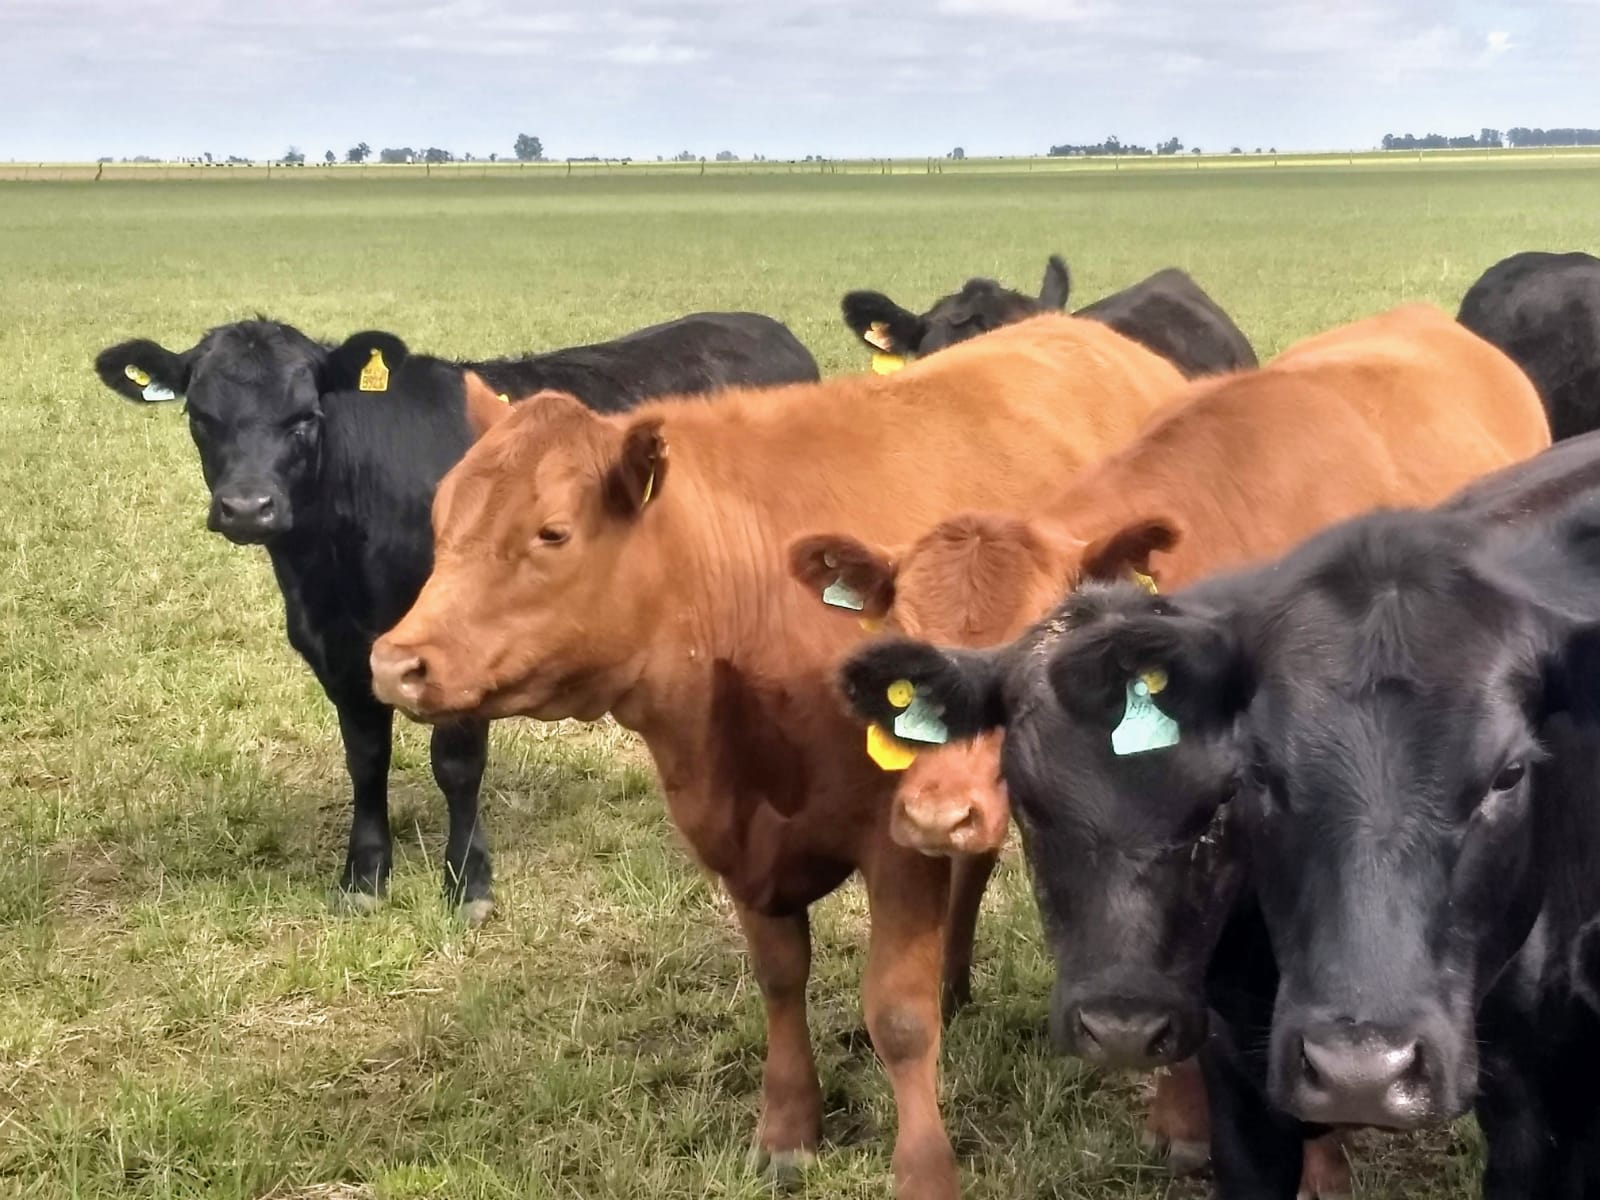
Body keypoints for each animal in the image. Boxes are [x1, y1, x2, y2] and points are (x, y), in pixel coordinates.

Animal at [98, 312, 819, 921]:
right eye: (200, 415)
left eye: (305, 416)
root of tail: (769, 330)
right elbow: (366, 758)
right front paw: (364, 877)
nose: (248, 507)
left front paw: (467, 883)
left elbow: (456, 765)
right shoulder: (338, 653)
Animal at [366, 315, 1190, 1196]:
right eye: (442, 521)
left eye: (550, 531)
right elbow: (780, 976)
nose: (394, 661)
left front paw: (924, 1167)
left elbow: (898, 1016)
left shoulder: (897, 839)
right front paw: (790, 1125)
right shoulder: (739, 839)